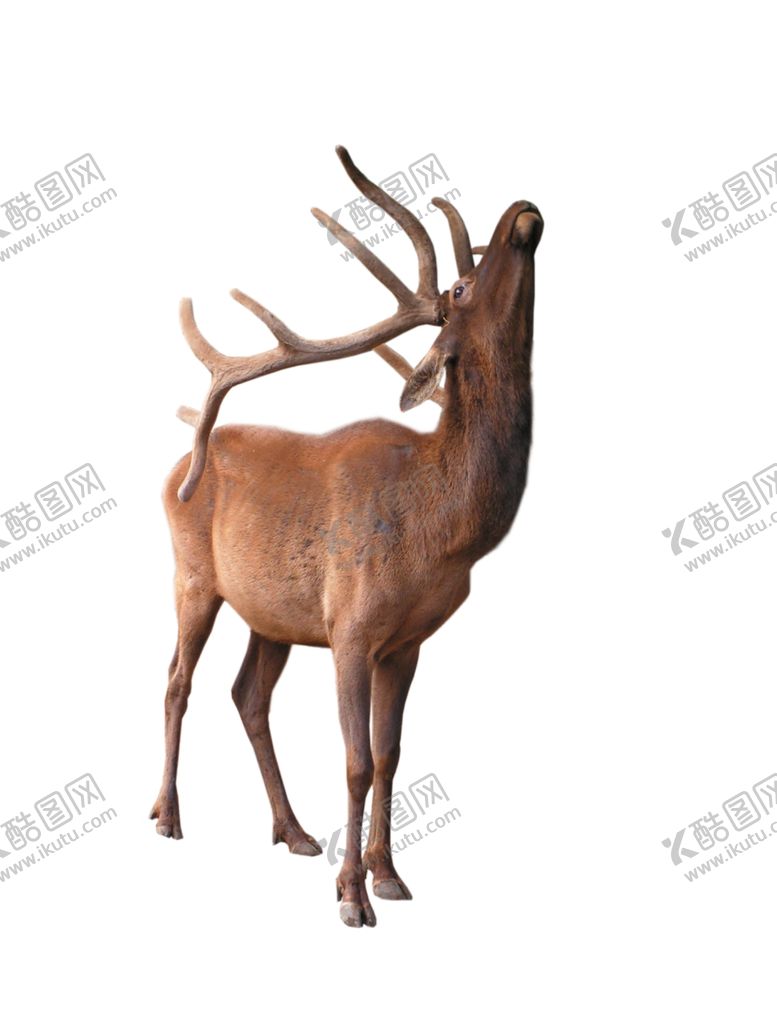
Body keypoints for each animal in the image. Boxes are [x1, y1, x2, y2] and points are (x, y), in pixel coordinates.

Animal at [150, 146, 543, 928]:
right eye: (461, 285)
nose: (521, 210)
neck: (443, 531)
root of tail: (175, 465)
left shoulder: (406, 643)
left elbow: (391, 754)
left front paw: (387, 875)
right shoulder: (352, 627)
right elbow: (357, 760)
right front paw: (352, 897)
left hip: (270, 614)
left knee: (247, 694)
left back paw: (293, 831)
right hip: (192, 576)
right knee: (176, 681)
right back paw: (167, 815)